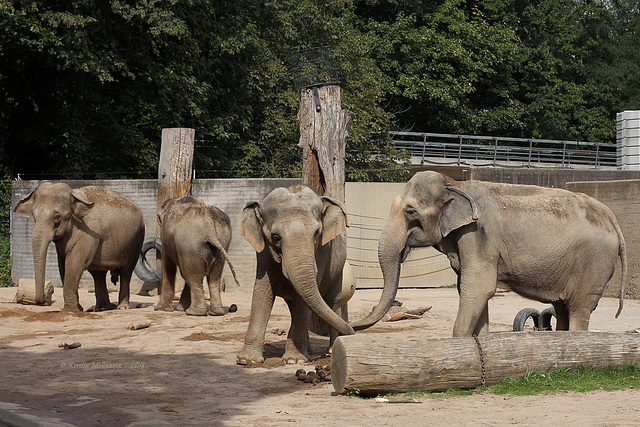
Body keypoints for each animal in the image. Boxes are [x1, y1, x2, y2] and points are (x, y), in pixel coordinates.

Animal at [14, 182, 145, 312]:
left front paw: (70, 311)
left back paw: (122, 307)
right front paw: (78, 309)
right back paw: (102, 308)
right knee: (98, 274)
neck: (73, 195)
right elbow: (63, 265)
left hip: (136, 241)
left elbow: (74, 264)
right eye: (34, 215)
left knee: (126, 271)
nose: (46, 298)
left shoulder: (87, 233)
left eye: (56, 217)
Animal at [235, 186, 356, 366]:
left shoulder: (321, 252)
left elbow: (303, 301)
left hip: (338, 270)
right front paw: (246, 360)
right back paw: (310, 351)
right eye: (275, 237)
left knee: (332, 302)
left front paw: (293, 360)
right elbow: (263, 291)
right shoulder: (263, 252)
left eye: (317, 233)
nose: (353, 332)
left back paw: (331, 348)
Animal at [350, 171, 624, 338]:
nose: (351, 327)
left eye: (410, 212)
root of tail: (613, 218)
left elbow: (478, 287)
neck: (455, 185)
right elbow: (470, 288)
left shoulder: (478, 235)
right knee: (562, 306)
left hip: (594, 262)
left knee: (579, 306)